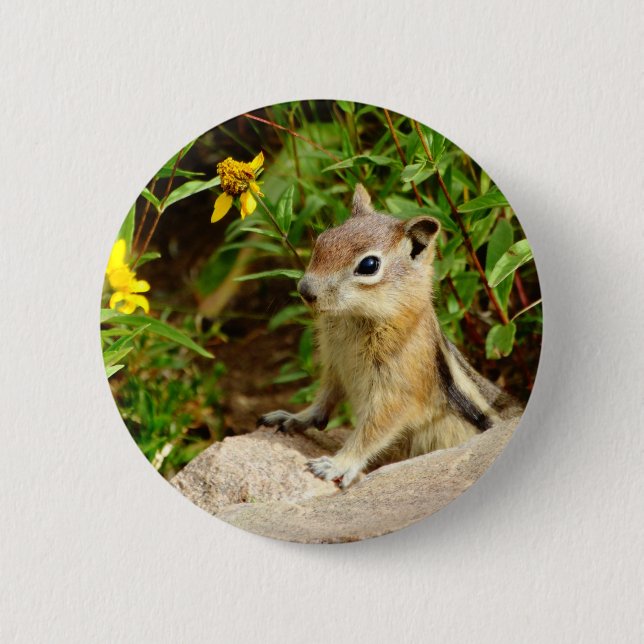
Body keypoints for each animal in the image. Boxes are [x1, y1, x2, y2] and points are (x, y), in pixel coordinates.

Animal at [258, 184, 523, 489]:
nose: (305, 290)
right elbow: (324, 398)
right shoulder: (335, 365)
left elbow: (373, 430)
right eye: (323, 240)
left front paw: (338, 463)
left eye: (369, 265)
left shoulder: (398, 389)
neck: (355, 319)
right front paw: (294, 416)